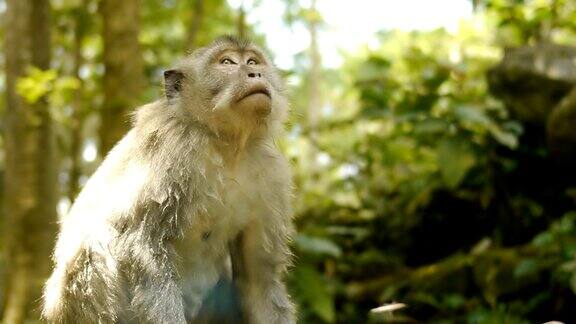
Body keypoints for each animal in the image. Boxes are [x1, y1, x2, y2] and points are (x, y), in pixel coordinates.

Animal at [44, 36, 296, 324]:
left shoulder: (272, 175)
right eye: (228, 62)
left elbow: (260, 277)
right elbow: (143, 246)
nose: (255, 74)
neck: (225, 144)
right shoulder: (171, 150)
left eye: (253, 61)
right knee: (93, 244)